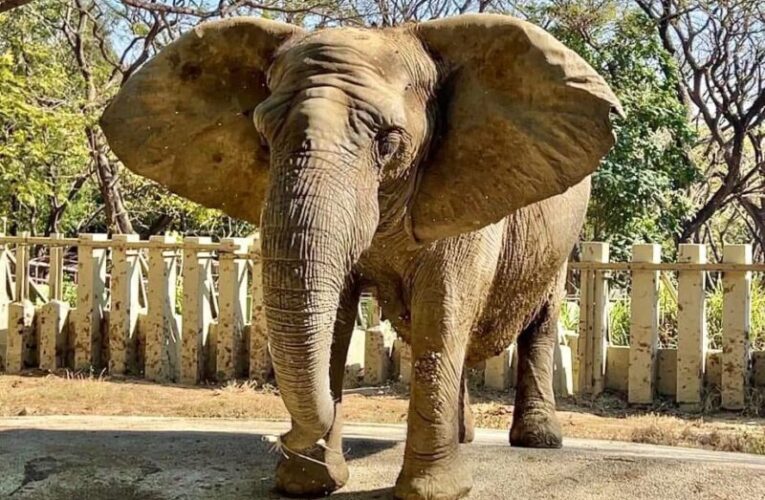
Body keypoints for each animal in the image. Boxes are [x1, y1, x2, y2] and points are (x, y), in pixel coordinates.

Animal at [100, 13, 622, 500]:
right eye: (263, 138)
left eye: (388, 141)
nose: (280, 437)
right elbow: (335, 321)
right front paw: (309, 481)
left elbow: (442, 310)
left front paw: (431, 492)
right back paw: (464, 437)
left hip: (563, 239)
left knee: (539, 322)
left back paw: (538, 441)